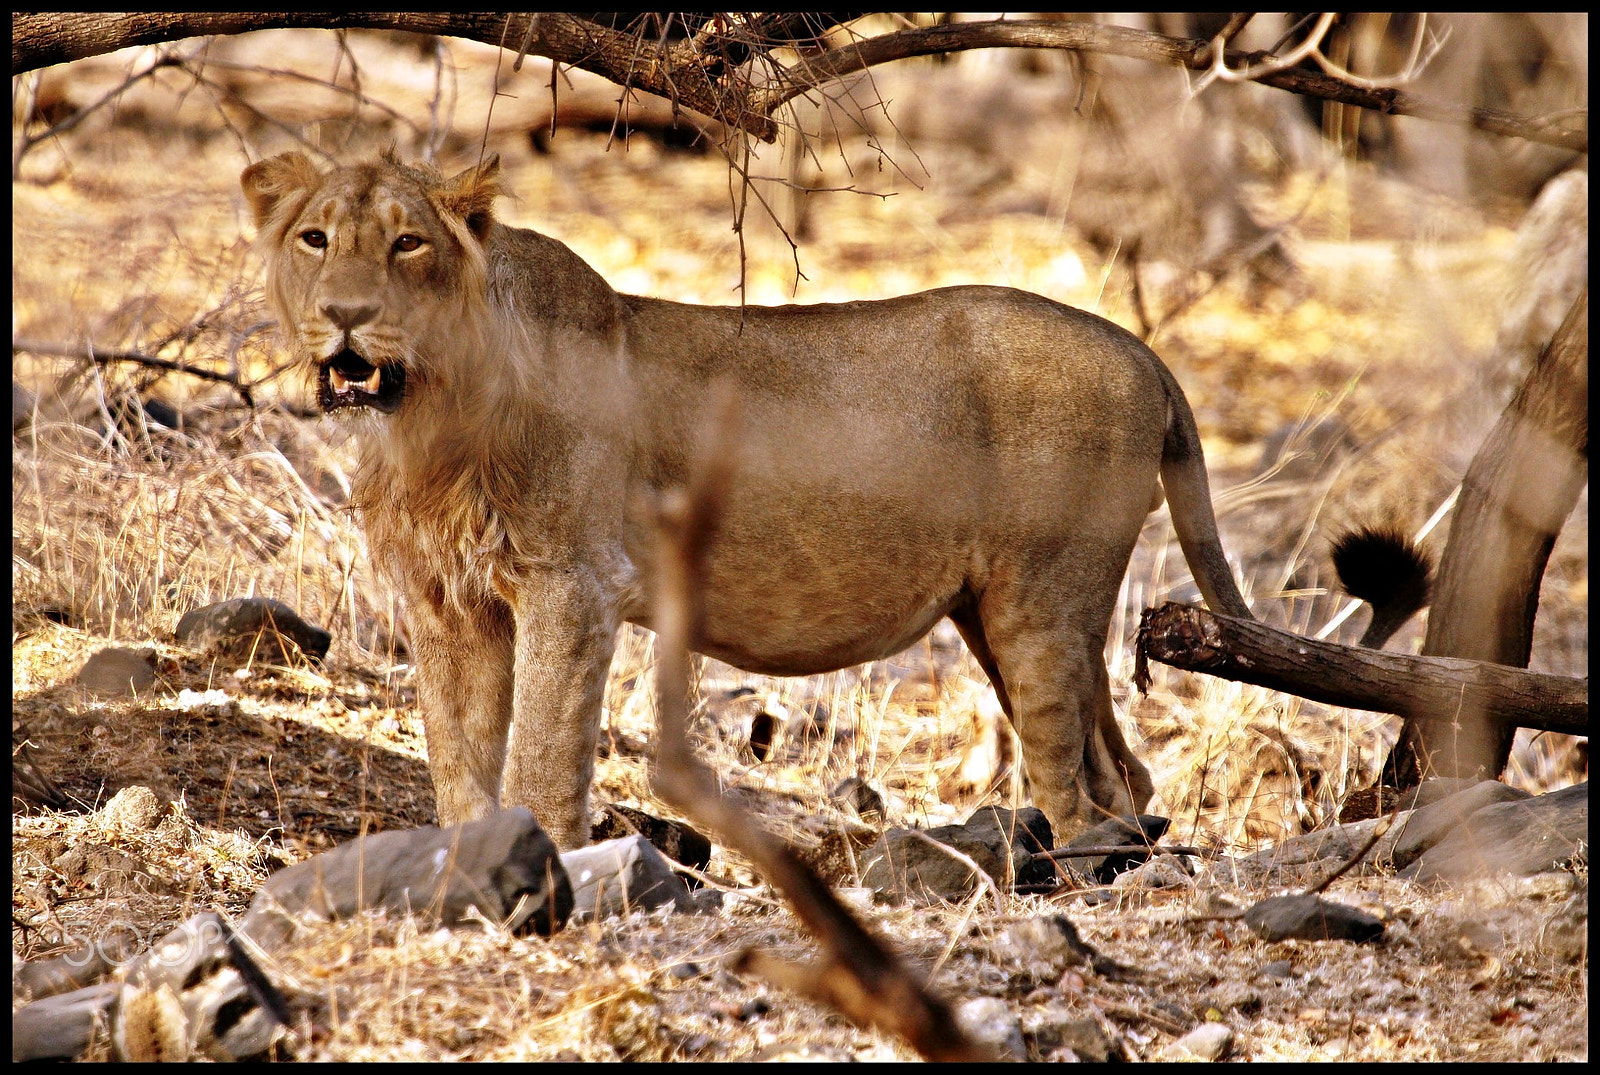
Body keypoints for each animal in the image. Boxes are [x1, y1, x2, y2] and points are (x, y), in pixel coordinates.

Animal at [243, 151, 1254, 851]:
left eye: (408, 241)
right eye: (315, 239)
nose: (344, 314)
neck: (429, 417)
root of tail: (1141, 350)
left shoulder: (574, 582)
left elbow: (542, 747)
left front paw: (547, 861)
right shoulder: (449, 600)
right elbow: (456, 751)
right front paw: (468, 860)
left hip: (1041, 603)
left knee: (1075, 783)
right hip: (1007, 615)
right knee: (1125, 774)